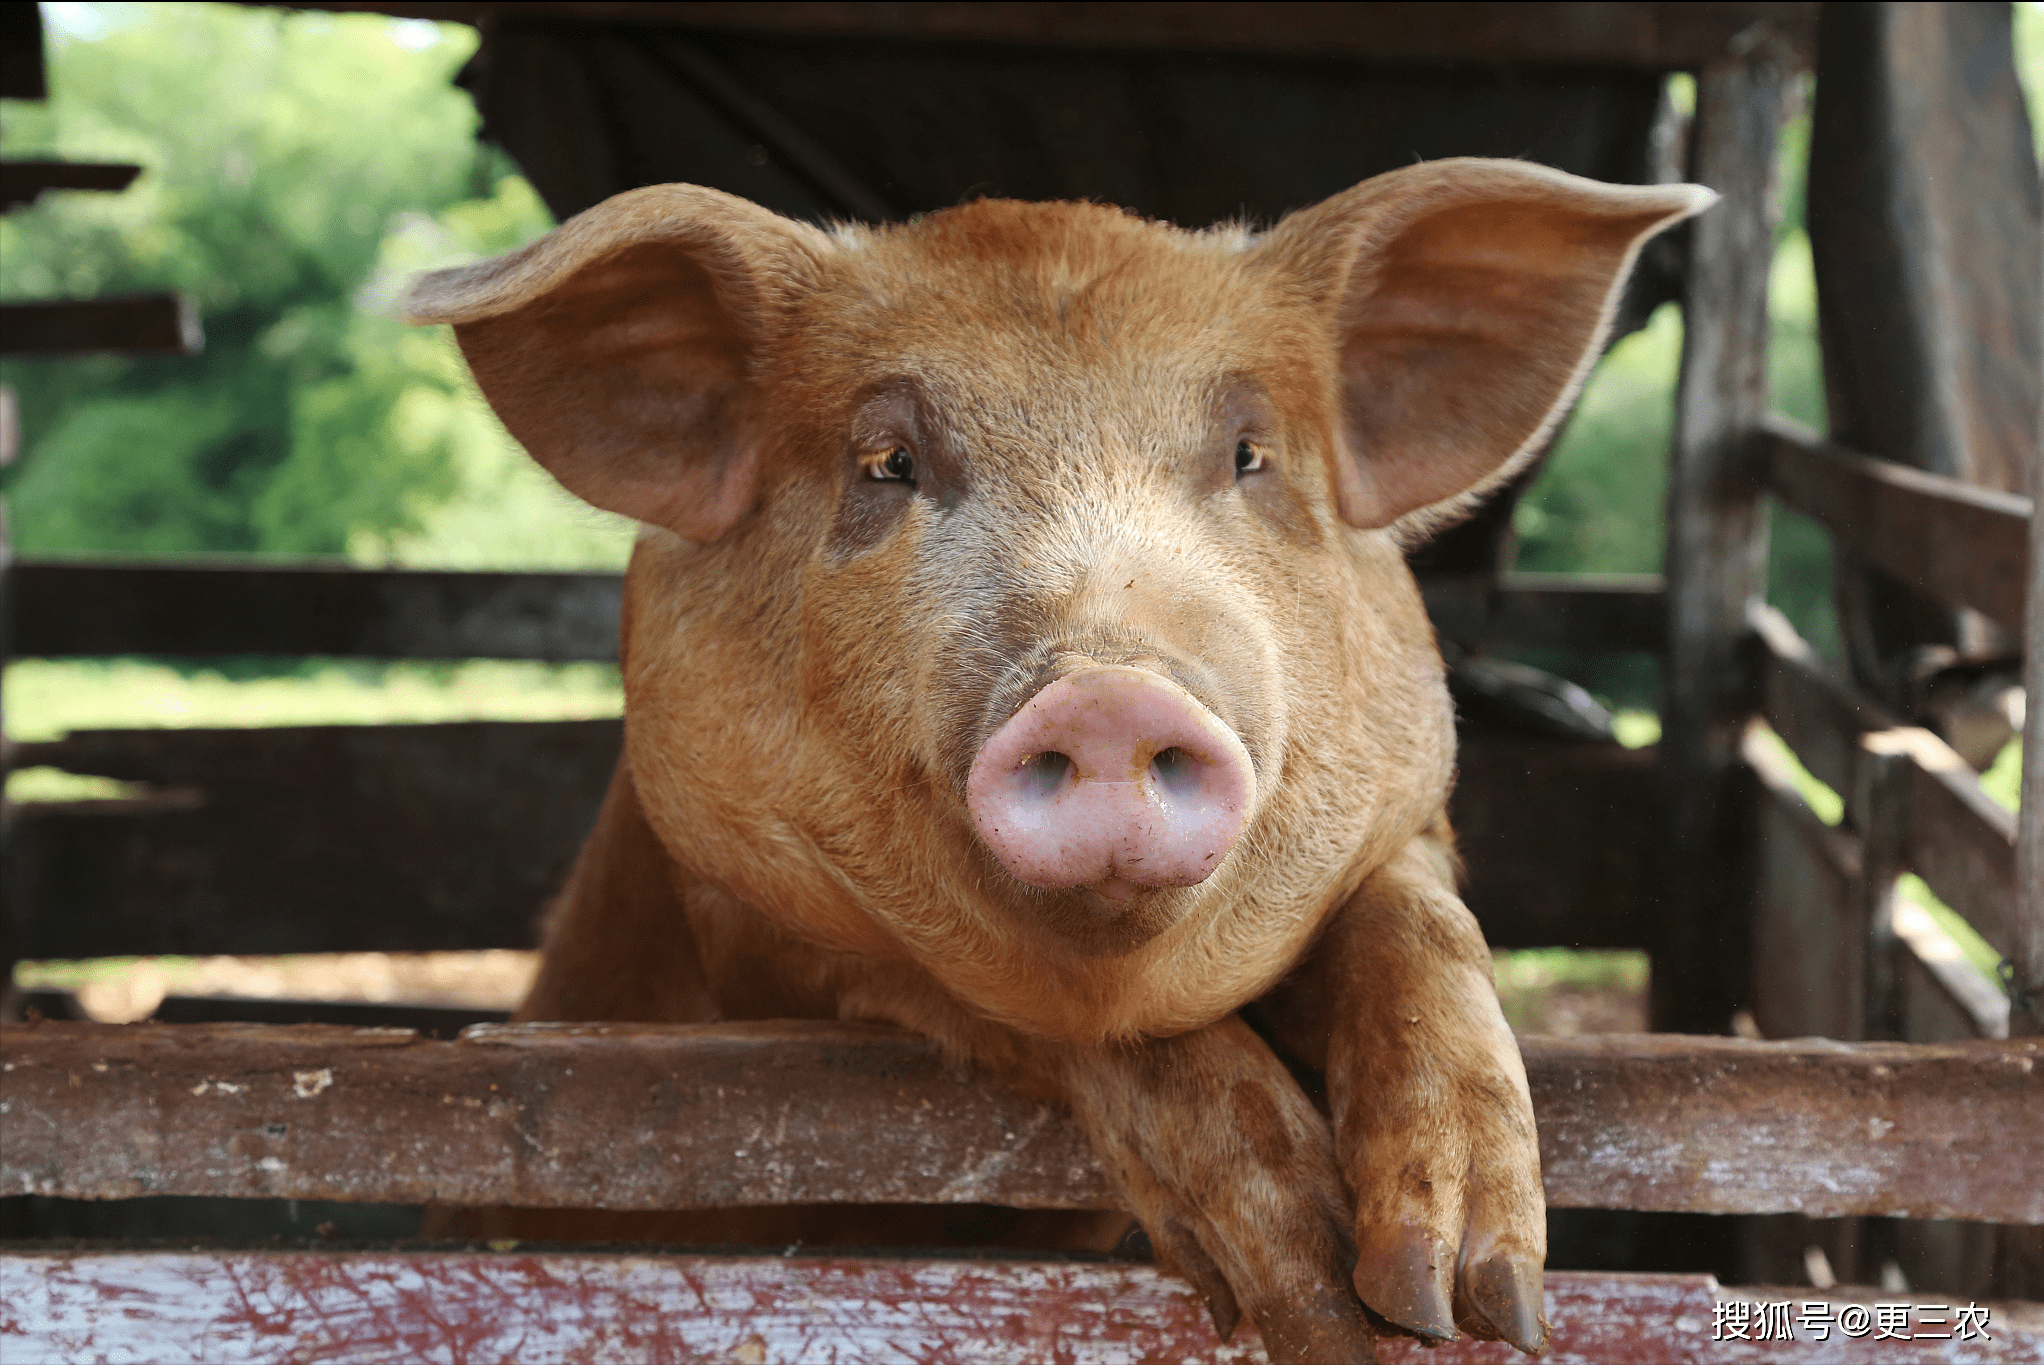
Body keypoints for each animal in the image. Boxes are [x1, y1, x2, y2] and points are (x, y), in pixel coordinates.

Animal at [402, 162, 1708, 1365]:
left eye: (1249, 454)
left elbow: (1417, 917)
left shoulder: (1410, 813)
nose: (1108, 692)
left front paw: (1464, 1303)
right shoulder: (741, 914)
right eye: (888, 463)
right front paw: (1322, 1308)